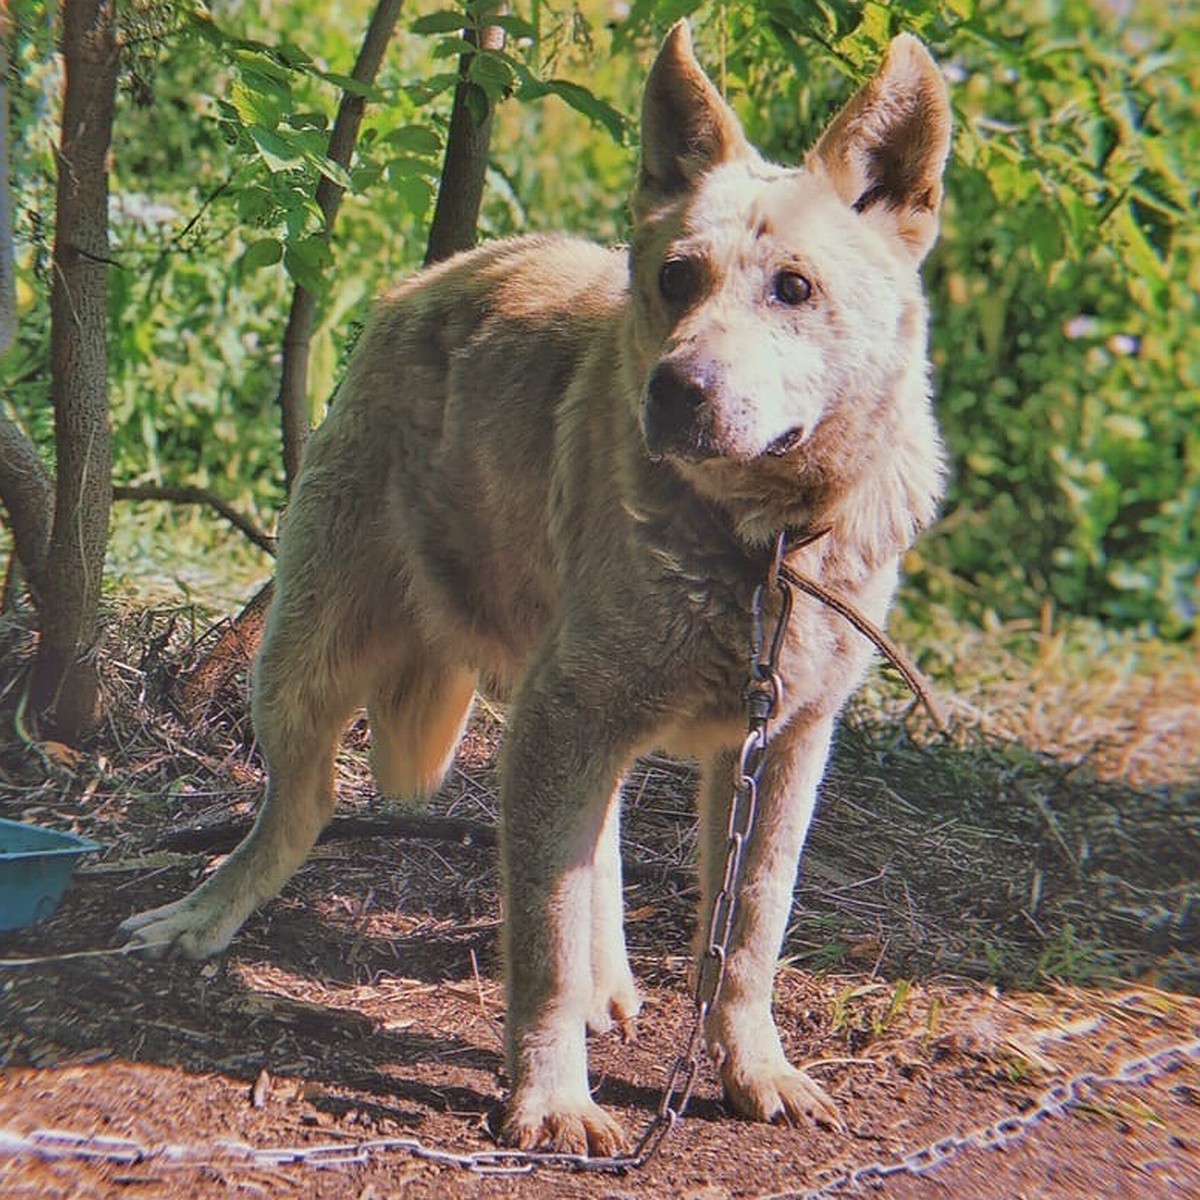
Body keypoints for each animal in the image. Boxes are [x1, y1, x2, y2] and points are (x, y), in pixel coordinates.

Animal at [119, 21, 945, 1152]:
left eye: (793, 287)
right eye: (676, 280)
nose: (674, 392)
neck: (758, 549)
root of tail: (433, 275)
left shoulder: (782, 748)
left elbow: (749, 931)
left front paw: (754, 1069)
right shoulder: (571, 718)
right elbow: (542, 940)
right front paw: (552, 1097)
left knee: (593, 844)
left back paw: (613, 982)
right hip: (309, 661)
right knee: (302, 807)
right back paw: (207, 915)